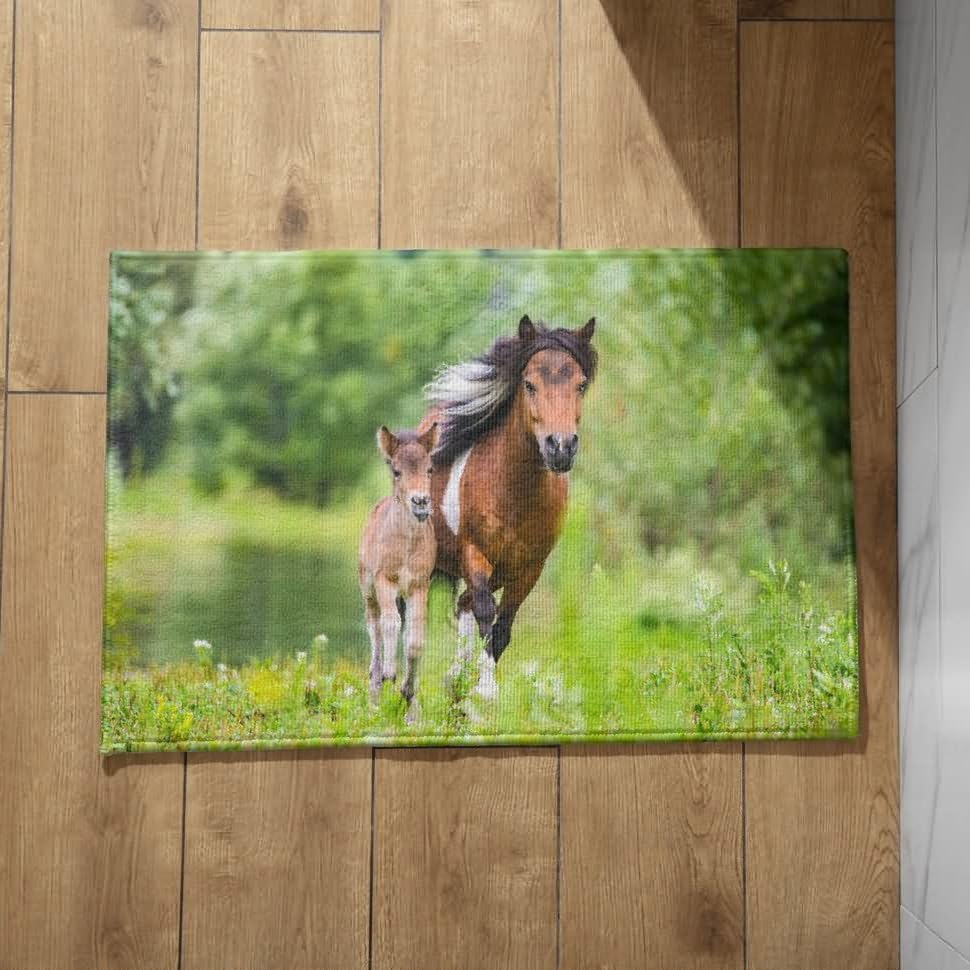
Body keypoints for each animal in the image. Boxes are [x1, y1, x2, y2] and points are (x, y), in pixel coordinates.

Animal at [358, 422, 438, 721]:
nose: (421, 502)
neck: (406, 545)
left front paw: (409, 698)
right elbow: (390, 623)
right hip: (368, 589)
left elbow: (415, 638)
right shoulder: (385, 580)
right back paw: (375, 689)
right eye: (396, 471)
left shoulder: (419, 585)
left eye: (430, 469)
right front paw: (390, 674)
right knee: (375, 625)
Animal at [417, 315, 597, 700]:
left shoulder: (530, 568)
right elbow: (487, 612)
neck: (514, 495)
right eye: (529, 384)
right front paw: (485, 690)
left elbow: (503, 627)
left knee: (463, 603)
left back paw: (456, 679)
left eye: (580, 385)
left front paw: (474, 687)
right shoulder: (474, 553)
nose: (561, 447)